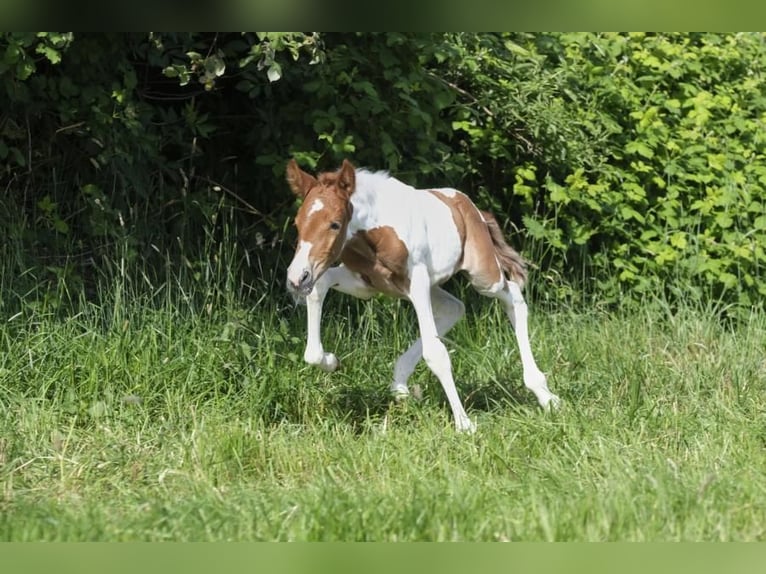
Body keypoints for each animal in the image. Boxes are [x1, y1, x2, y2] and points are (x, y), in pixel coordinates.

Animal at [284, 158, 560, 432]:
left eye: (335, 224)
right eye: (297, 223)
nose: (297, 278)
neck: (375, 235)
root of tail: (476, 211)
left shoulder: (417, 282)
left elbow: (436, 353)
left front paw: (464, 424)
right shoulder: (365, 284)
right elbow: (319, 293)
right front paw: (331, 361)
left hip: (483, 276)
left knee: (513, 297)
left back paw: (543, 393)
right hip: (416, 289)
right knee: (454, 307)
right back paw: (400, 387)